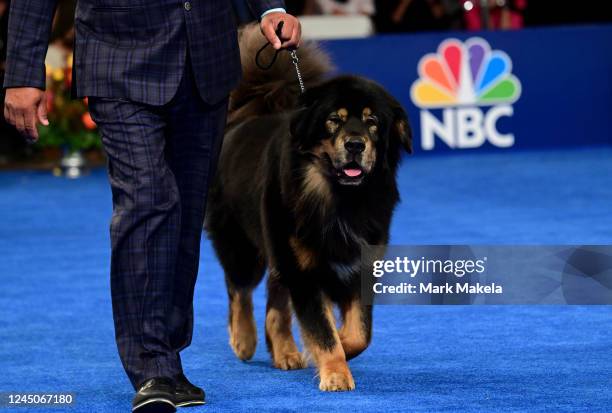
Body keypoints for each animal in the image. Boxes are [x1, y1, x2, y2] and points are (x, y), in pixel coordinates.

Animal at [206, 25, 412, 390]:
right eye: (333, 121)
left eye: (373, 122)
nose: (355, 144)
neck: (340, 200)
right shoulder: (304, 270)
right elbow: (322, 328)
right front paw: (335, 372)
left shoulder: (357, 265)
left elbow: (360, 333)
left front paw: (340, 345)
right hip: (245, 246)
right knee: (239, 289)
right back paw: (243, 339)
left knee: (275, 305)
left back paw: (285, 351)